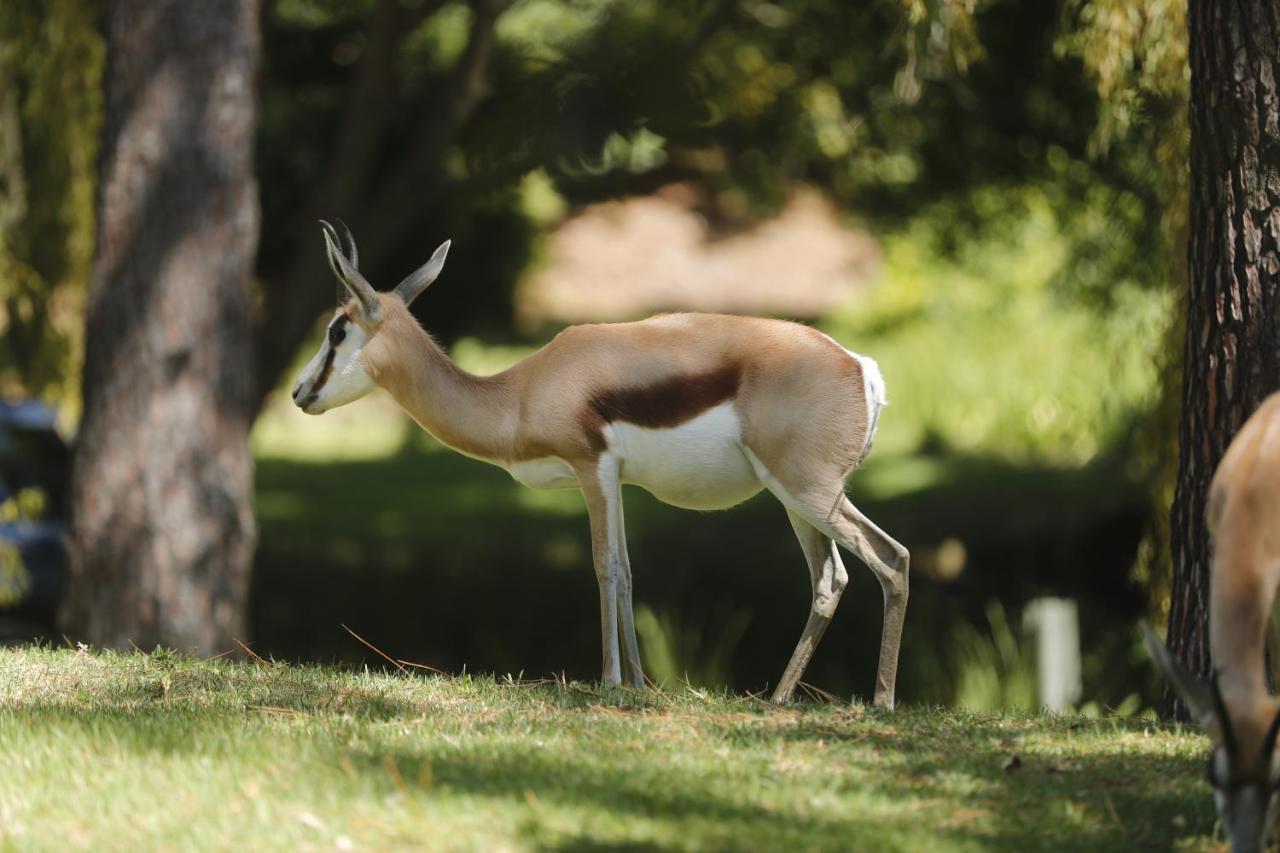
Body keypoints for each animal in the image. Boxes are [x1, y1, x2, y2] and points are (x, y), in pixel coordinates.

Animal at [290, 220, 911, 701]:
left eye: (337, 329)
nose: (299, 393)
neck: (520, 394)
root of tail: (859, 366)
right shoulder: (617, 482)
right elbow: (629, 572)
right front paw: (638, 685)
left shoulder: (592, 471)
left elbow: (604, 567)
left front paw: (610, 681)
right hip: (793, 500)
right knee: (830, 579)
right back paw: (780, 700)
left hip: (807, 490)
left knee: (892, 558)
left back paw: (881, 702)